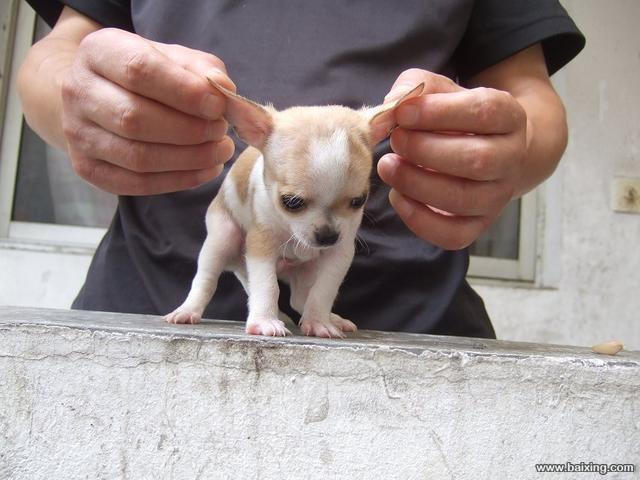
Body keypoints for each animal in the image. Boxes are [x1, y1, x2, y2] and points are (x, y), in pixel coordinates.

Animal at [165, 79, 424, 338]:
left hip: (304, 269)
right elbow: (268, 286)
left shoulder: (339, 254)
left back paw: (331, 318)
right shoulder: (261, 245)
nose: (328, 236)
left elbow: (324, 290)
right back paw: (188, 310)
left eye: (359, 201)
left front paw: (319, 321)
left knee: (299, 298)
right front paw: (264, 321)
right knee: (206, 280)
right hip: (222, 238)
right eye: (291, 202)